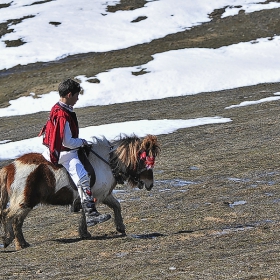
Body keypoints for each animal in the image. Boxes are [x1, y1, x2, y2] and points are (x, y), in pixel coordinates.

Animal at [0, 133, 160, 249]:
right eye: (145, 160)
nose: (150, 184)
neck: (106, 162)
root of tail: (10, 167)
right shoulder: (96, 194)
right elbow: (89, 210)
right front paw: (88, 228)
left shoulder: (103, 194)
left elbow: (116, 206)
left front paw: (119, 227)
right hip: (24, 201)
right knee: (10, 216)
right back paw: (14, 241)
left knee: (13, 219)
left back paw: (16, 241)